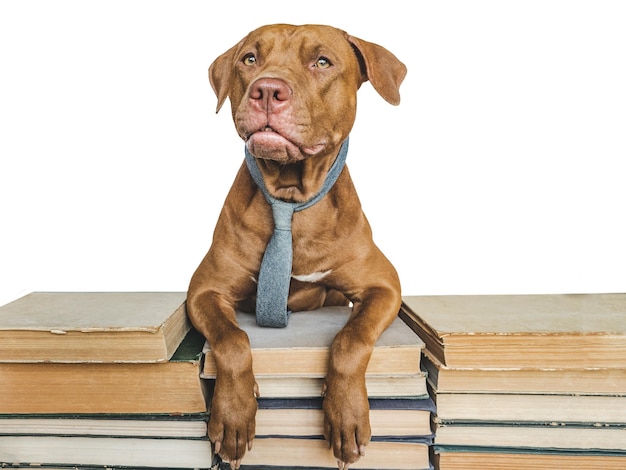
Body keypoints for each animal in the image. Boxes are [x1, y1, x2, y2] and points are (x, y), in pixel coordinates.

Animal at [186, 23, 404, 468]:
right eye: (249, 59)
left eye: (322, 62)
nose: (267, 89)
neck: (289, 197)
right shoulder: (204, 290)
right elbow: (233, 341)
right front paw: (234, 416)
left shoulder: (384, 286)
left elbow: (350, 340)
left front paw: (346, 415)